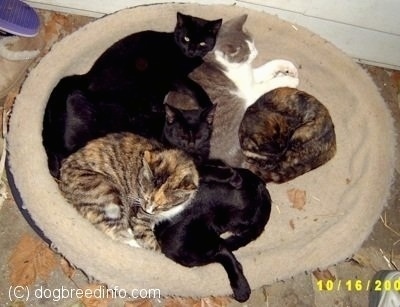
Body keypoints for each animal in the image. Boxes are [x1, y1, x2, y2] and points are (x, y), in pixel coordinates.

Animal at [44, 12, 225, 178]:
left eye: (202, 43)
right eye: (186, 38)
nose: (192, 50)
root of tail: (85, 77)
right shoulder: (175, 77)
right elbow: (195, 87)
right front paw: (206, 102)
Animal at [57, 132, 198, 250]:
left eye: (161, 205)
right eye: (145, 196)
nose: (148, 209)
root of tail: (62, 183)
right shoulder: (139, 217)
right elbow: (150, 242)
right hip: (107, 192)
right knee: (113, 231)